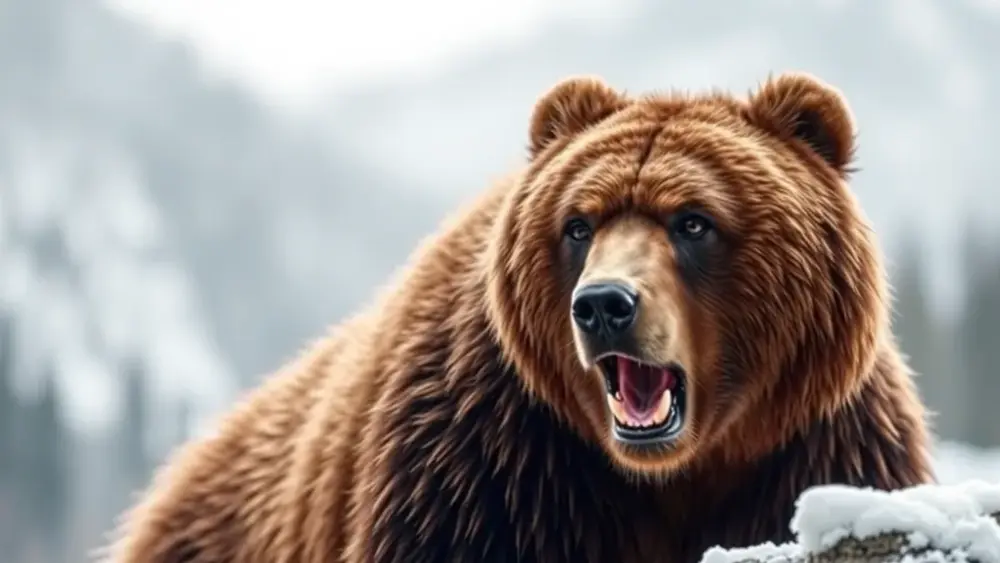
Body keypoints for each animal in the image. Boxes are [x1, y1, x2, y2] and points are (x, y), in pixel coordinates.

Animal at [105, 72, 935, 563]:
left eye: (693, 220)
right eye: (579, 223)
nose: (604, 305)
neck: (671, 473)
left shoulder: (814, 446)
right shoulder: (489, 468)